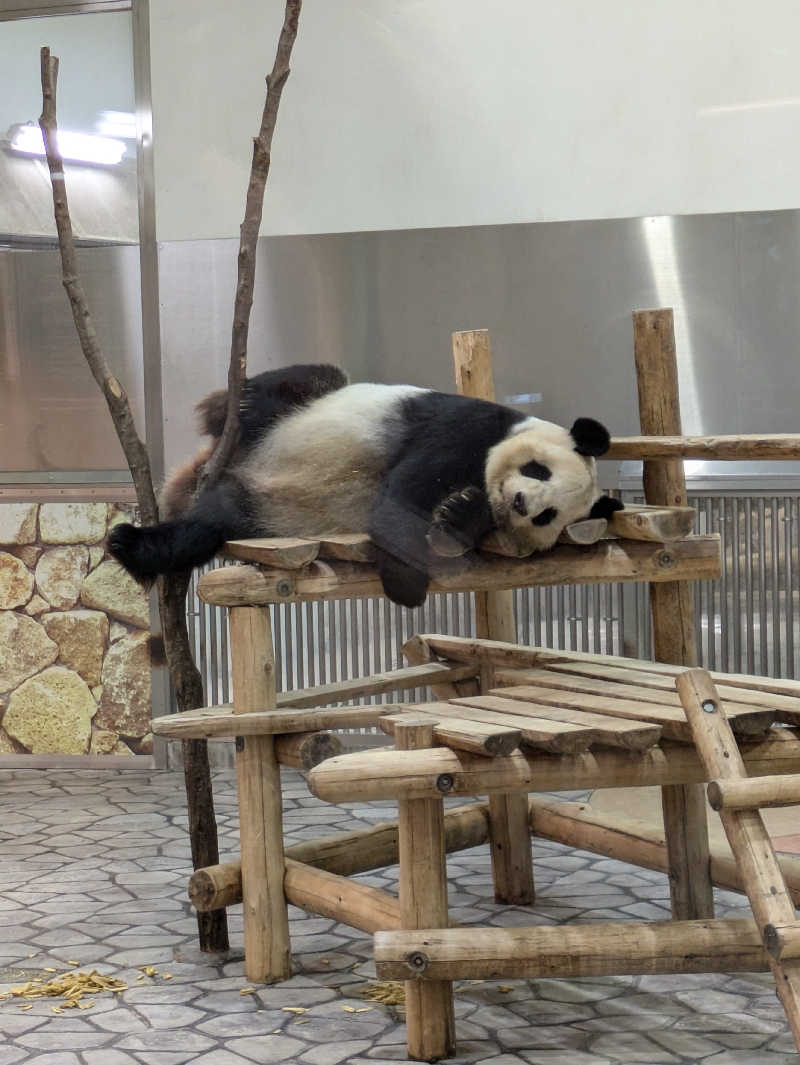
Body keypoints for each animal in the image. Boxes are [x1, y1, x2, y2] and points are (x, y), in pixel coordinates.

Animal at [108, 364, 617, 609]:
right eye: (539, 471)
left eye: (548, 516)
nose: (519, 501)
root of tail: (224, 462)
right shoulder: (463, 428)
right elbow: (398, 502)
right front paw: (405, 583)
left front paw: (461, 515)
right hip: (286, 415)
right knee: (303, 380)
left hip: (255, 508)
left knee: (209, 525)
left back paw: (143, 549)